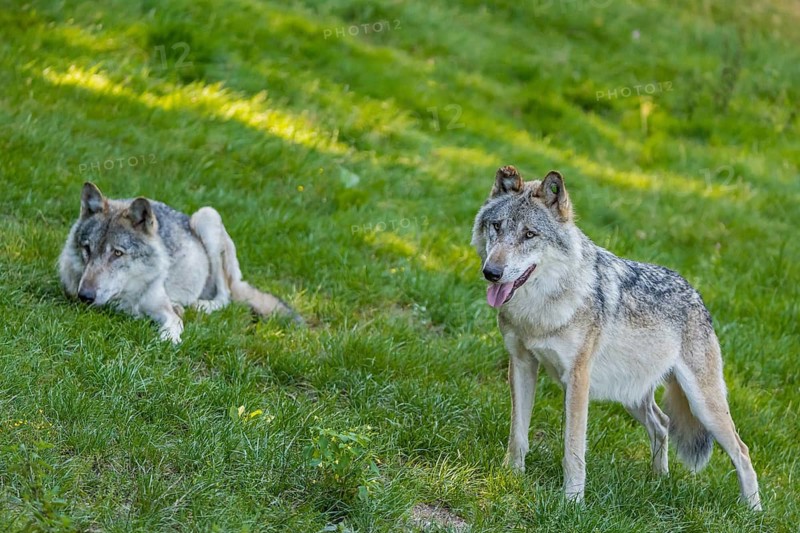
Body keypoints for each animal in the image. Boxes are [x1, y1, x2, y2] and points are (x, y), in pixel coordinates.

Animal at [58, 182, 301, 343]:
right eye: (87, 249)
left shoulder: (162, 309)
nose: (85, 296)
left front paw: (168, 337)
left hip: (207, 216)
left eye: (117, 253)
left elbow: (173, 323)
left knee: (225, 296)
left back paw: (199, 305)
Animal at [471, 166, 761, 510]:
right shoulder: (521, 364)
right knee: (663, 423)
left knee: (742, 451)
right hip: (630, 395)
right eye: (497, 226)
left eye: (530, 234)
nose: (491, 272)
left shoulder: (577, 380)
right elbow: (518, 434)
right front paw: (511, 477)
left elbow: (573, 450)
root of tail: (695, 293)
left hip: (703, 405)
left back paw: (754, 512)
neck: (539, 311)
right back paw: (658, 481)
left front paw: (572, 502)